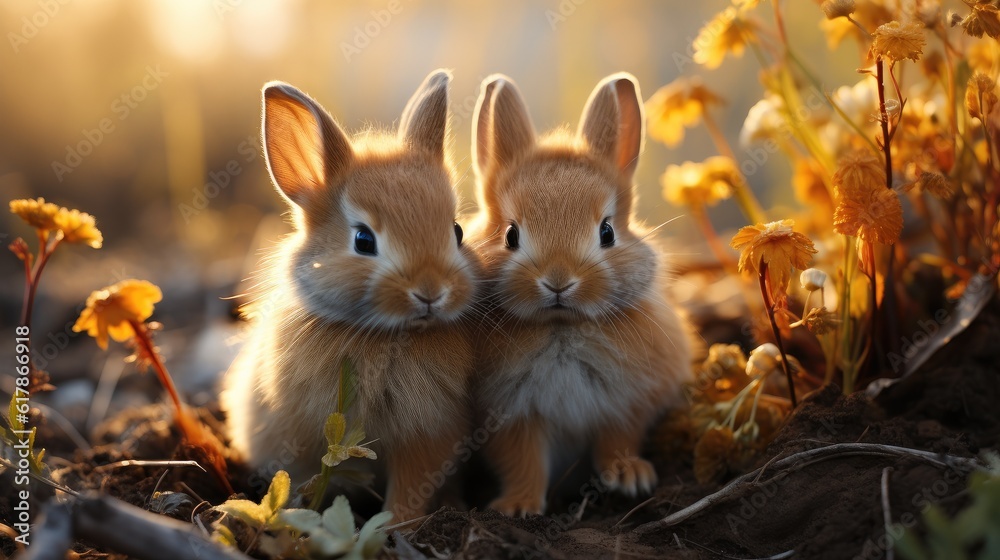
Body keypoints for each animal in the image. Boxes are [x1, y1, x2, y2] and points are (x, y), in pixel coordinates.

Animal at [224, 69, 480, 520]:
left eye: (457, 231)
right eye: (363, 240)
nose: (431, 292)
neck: (386, 336)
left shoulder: (429, 436)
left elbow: (409, 489)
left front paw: (395, 525)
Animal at [470, 72, 696, 516]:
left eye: (607, 232)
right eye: (510, 235)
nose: (558, 281)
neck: (563, 327)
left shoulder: (625, 405)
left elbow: (617, 442)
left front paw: (629, 476)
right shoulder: (511, 417)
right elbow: (523, 461)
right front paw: (518, 505)